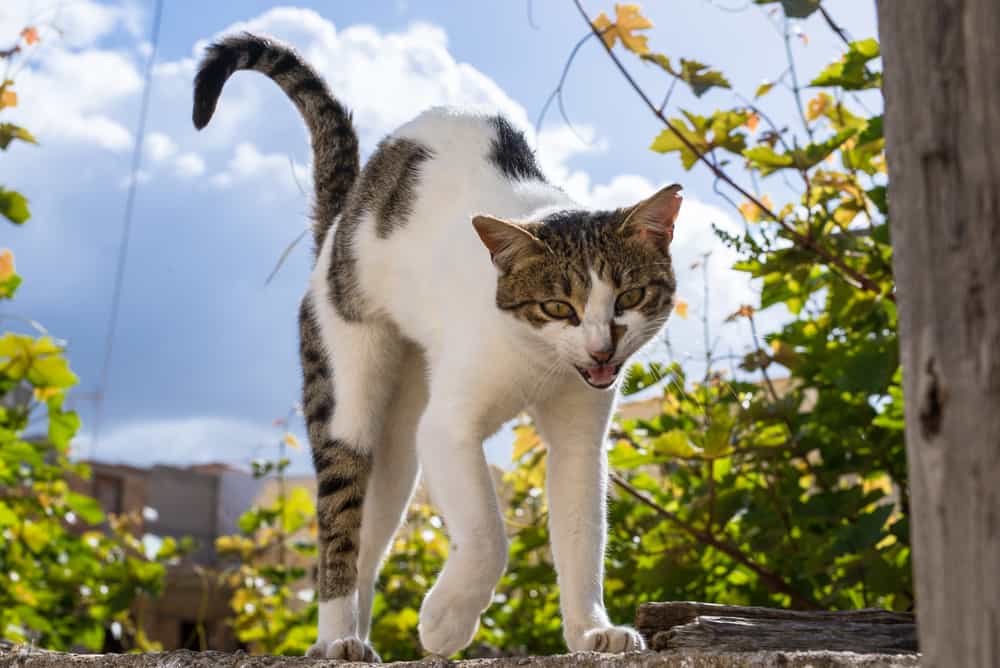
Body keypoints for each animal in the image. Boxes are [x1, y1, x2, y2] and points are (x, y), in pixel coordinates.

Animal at [192, 34, 684, 660]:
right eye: (558, 307)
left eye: (630, 296)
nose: (600, 349)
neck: (541, 362)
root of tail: (339, 222)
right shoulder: (448, 429)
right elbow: (488, 534)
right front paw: (446, 620)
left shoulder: (580, 437)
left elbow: (582, 536)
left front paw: (591, 631)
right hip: (349, 391)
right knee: (338, 529)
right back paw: (335, 640)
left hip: (399, 449)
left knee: (370, 534)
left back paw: (355, 634)